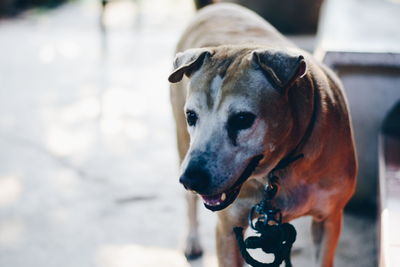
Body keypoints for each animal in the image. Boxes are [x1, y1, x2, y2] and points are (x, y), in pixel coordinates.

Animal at [169, 2, 356, 267]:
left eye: (242, 119)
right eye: (191, 116)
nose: (191, 180)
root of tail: (216, 7)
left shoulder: (329, 219)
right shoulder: (227, 229)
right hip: (183, 145)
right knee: (190, 204)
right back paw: (192, 240)